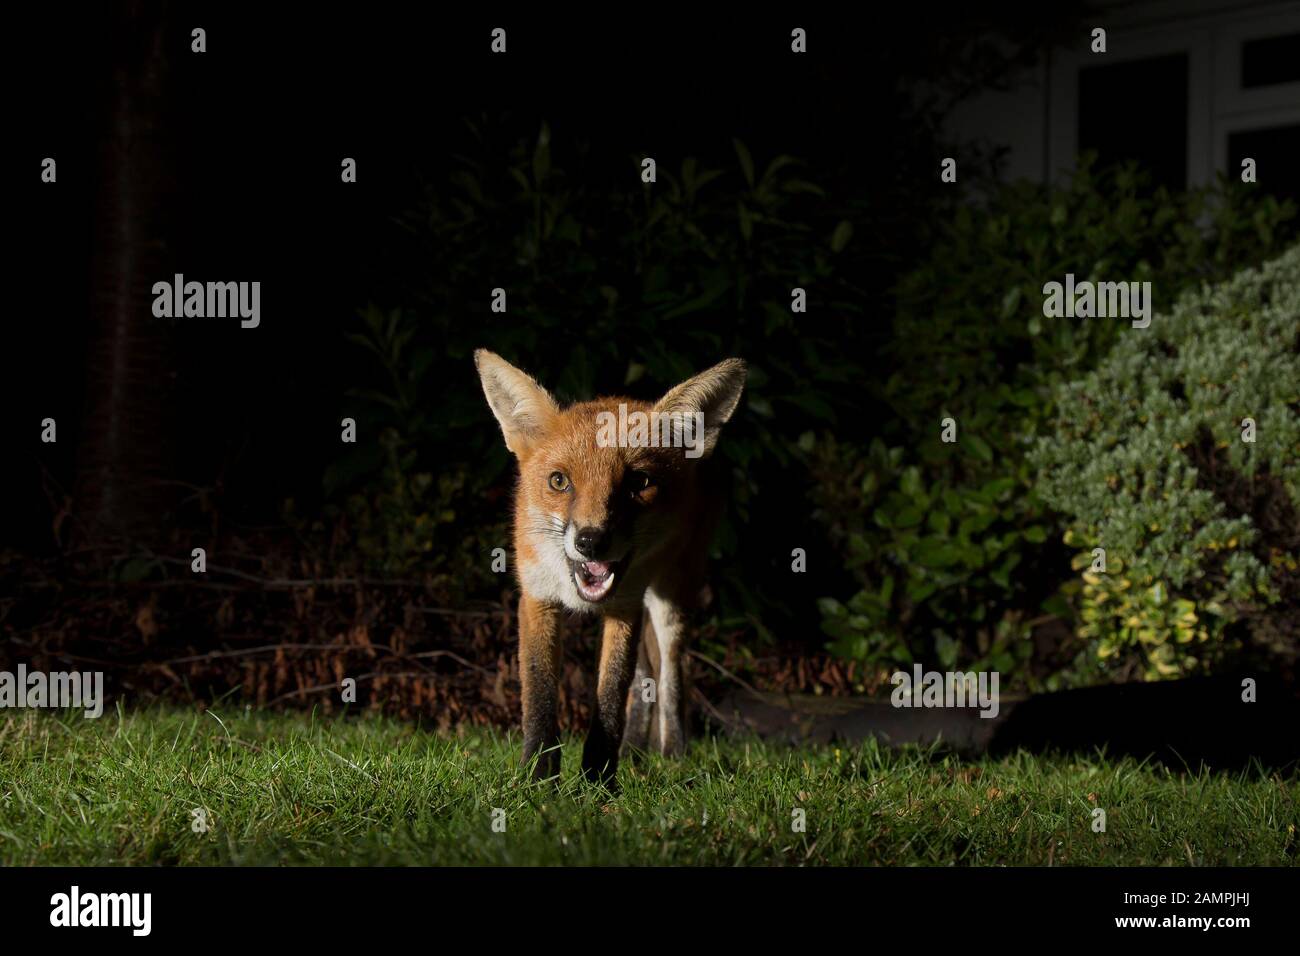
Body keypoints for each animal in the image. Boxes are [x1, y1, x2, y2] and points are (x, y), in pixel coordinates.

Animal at [478, 351, 748, 785]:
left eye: (639, 482)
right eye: (559, 481)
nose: (590, 541)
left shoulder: (624, 605)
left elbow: (609, 699)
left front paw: (598, 782)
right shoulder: (537, 597)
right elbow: (539, 697)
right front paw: (538, 778)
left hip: (671, 594)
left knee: (670, 675)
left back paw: (672, 755)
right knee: (644, 679)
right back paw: (635, 752)